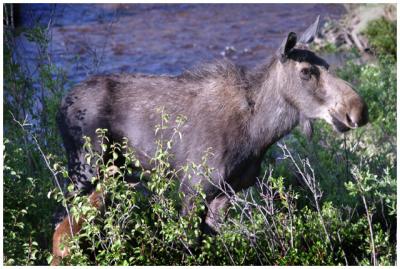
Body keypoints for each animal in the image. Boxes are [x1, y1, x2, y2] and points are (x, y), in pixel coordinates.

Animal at [52, 16, 368, 264]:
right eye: (306, 71)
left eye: (328, 65)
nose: (358, 110)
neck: (259, 133)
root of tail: (61, 104)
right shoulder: (193, 189)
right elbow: (186, 247)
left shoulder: (227, 193)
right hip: (84, 171)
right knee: (62, 227)